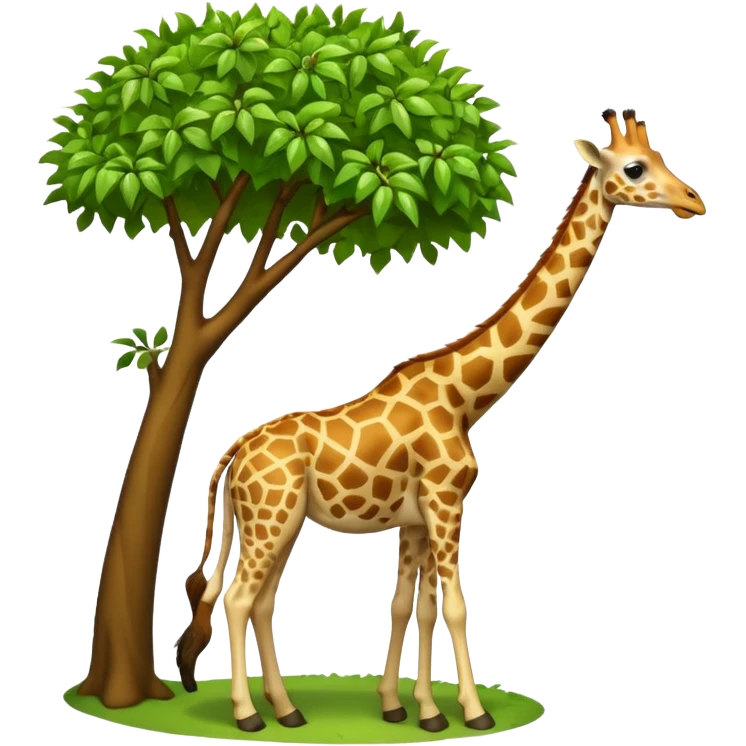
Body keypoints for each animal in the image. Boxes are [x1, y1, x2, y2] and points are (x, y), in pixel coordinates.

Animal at [175, 108, 706, 733]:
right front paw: (472, 712)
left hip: (278, 521)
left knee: (259, 601)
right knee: (237, 599)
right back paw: (248, 716)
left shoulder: (416, 519)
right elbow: (454, 606)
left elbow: (413, 607)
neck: (463, 395)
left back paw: (288, 710)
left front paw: (411, 709)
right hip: (271, 517)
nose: (694, 200)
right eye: (635, 167)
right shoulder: (446, 502)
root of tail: (236, 451)